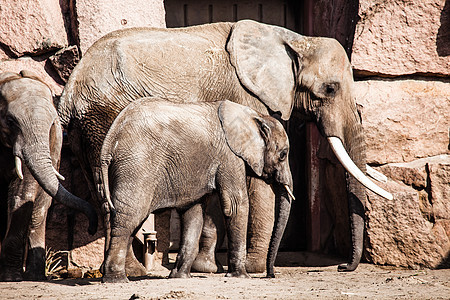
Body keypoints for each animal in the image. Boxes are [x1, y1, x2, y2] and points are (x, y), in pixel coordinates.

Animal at [0, 70, 97, 282]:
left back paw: (34, 276)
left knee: (41, 207)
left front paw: (10, 278)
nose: (91, 228)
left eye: (52, 123)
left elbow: (23, 193)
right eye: (10, 121)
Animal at [99, 98, 294, 284]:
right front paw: (241, 276)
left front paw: (180, 277)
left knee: (125, 218)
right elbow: (236, 206)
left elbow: (194, 213)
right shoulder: (230, 156)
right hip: (137, 165)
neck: (256, 115)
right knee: (129, 218)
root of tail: (111, 135)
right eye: (283, 155)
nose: (270, 275)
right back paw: (116, 279)